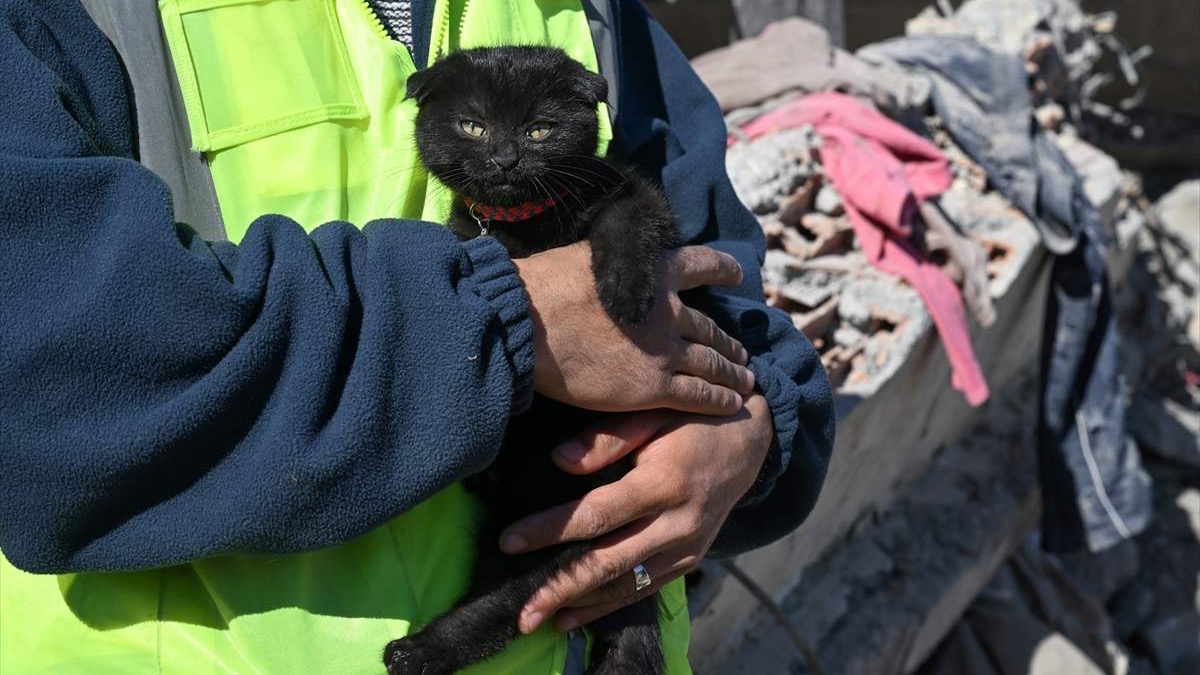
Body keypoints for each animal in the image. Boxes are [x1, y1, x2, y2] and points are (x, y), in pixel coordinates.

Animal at [384, 47, 681, 672]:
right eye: (473, 125)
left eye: (539, 129)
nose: (504, 157)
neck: (526, 225)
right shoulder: (468, 235)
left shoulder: (635, 192)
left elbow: (625, 222)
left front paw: (624, 293)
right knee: (508, 599)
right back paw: (421, 649)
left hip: (564, 511)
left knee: (512, 596)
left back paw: (422, 649)